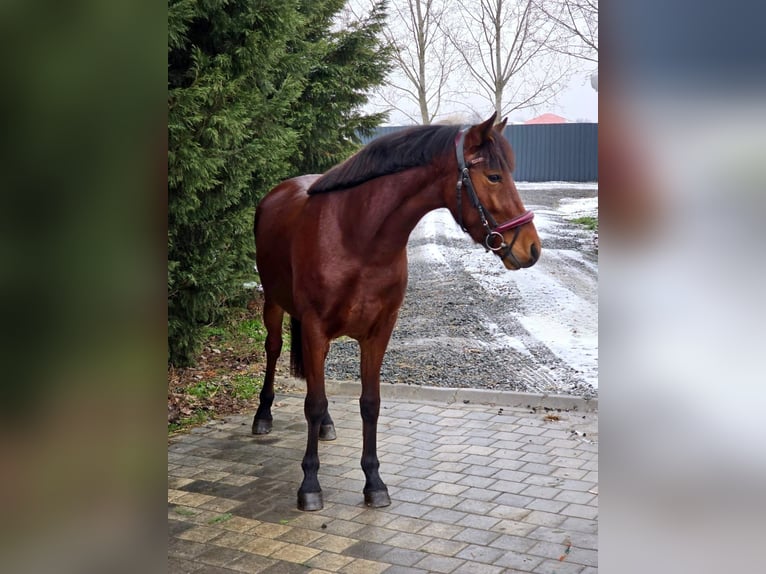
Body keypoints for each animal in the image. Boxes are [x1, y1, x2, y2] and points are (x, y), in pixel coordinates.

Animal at [252, 113, 540, 512]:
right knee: (274, 349)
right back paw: (262, 416)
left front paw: (374, 482)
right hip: (274, 304)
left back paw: (326, 425)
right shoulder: (314, 327)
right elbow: (313, 402)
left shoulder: (379, 331)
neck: (356, 236)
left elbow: (369, 403)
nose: (532, 248)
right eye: (494, 176)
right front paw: (310, 484)